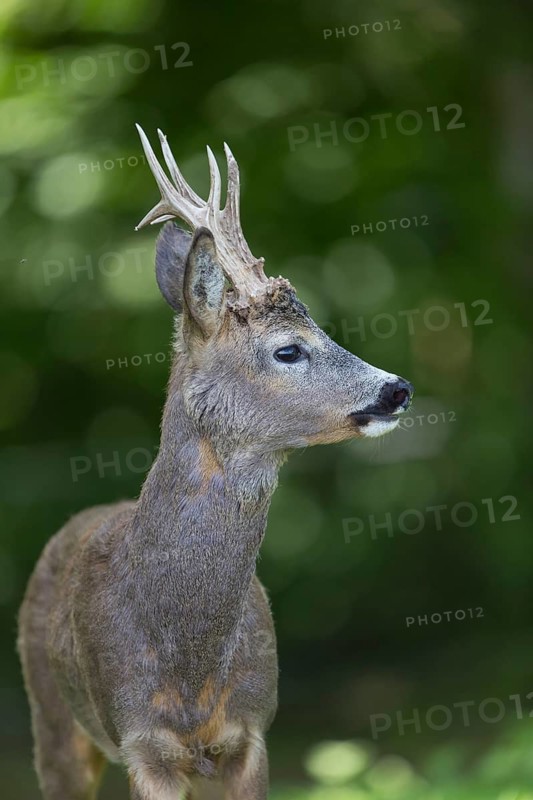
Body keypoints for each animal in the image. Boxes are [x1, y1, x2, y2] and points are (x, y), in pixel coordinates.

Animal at [18, 126, 413, 800]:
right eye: (288, 350)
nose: (397, 389)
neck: (187, 655)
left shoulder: (251, 732)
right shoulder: (141, 743)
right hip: (50, 715)